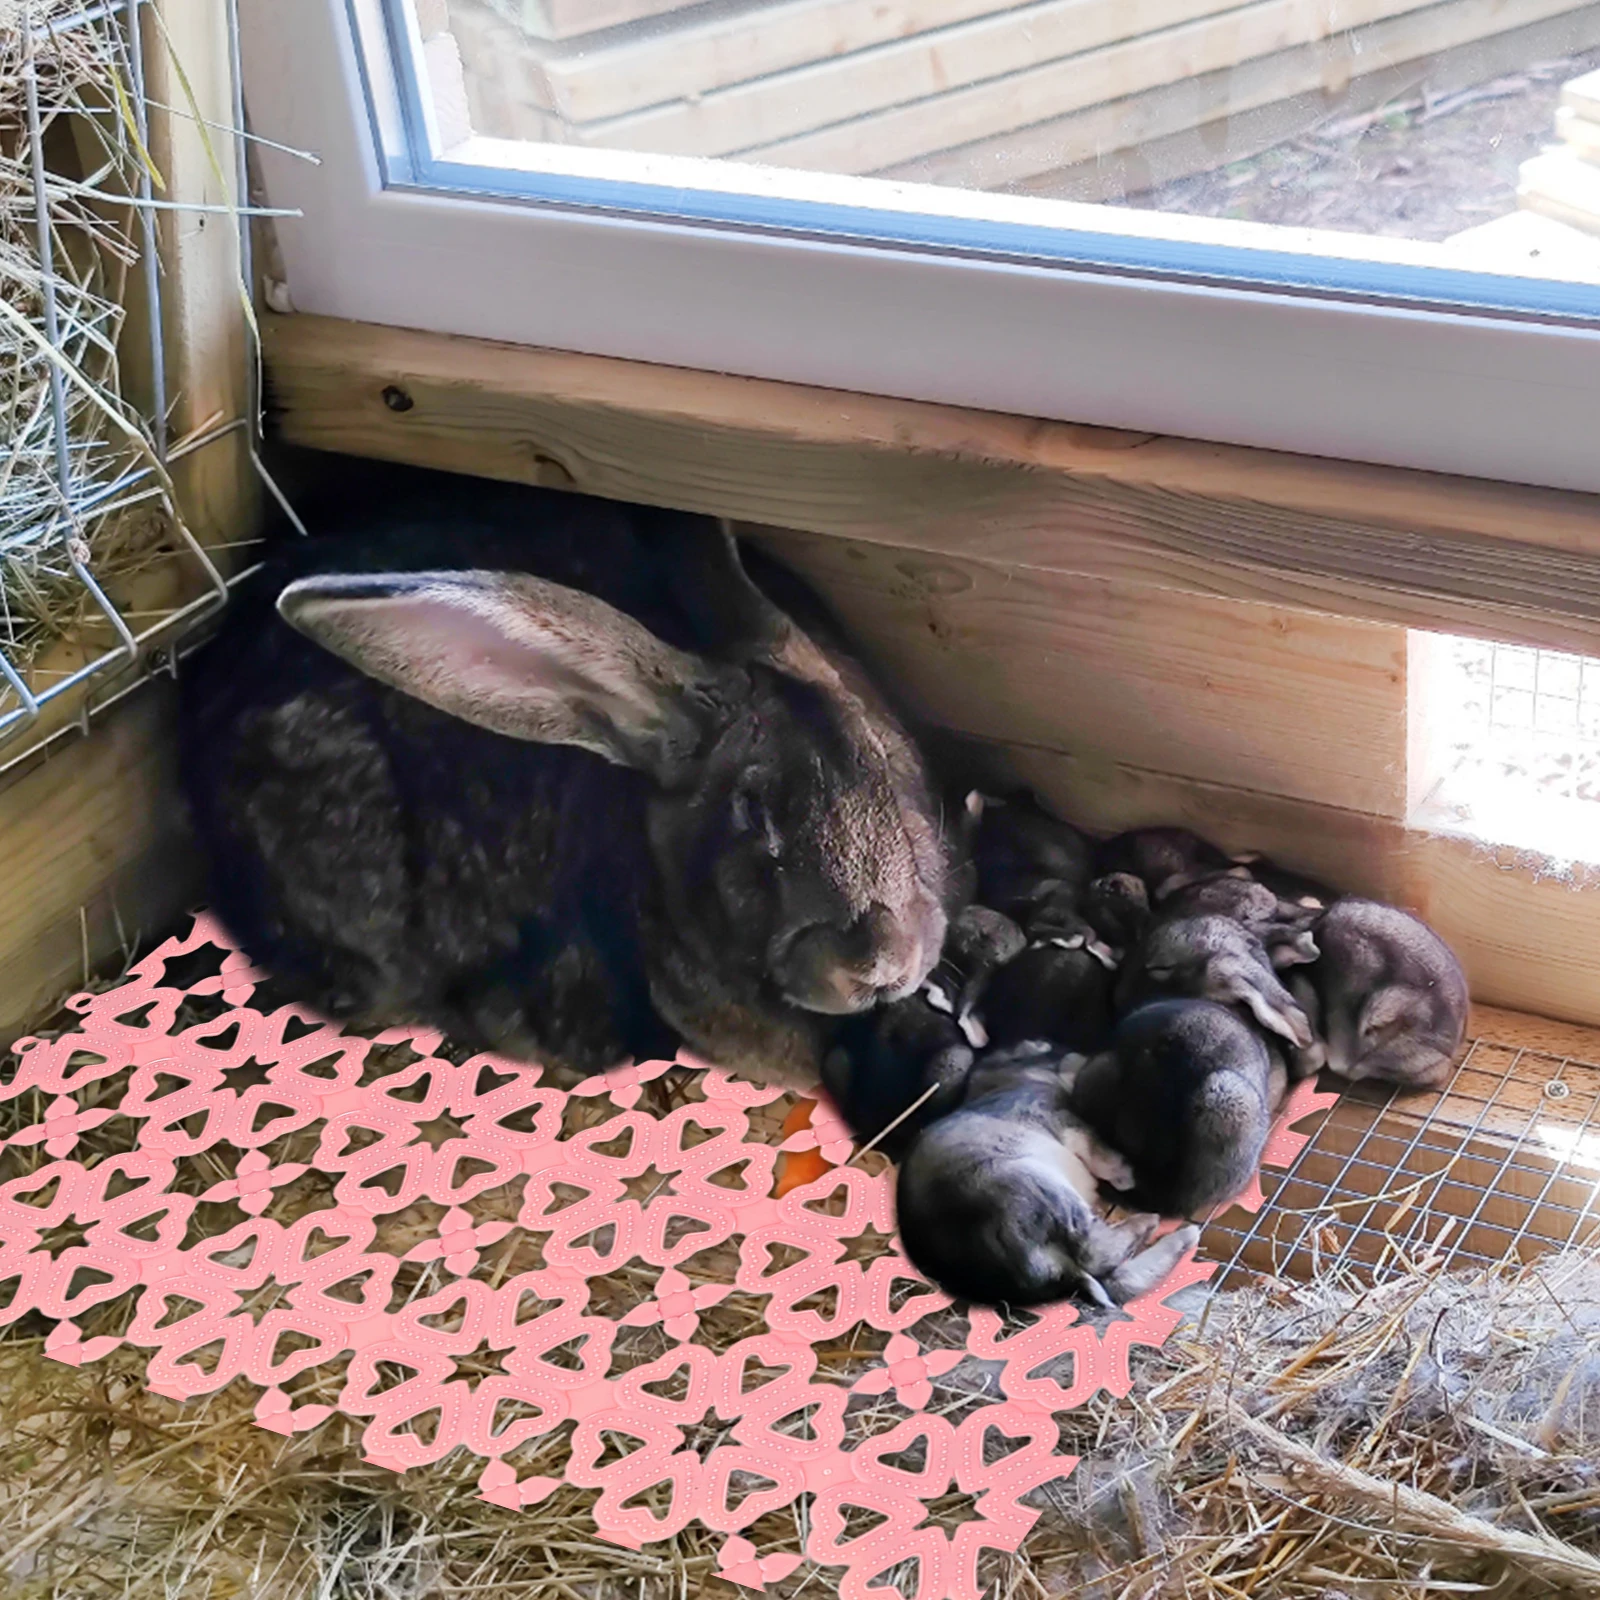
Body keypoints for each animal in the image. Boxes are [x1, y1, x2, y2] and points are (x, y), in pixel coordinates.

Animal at [896, 1041, 1201, 1308]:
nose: (1079, 1055)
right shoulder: (1063, 1117)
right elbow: (1098, 1150)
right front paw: (1127, 1177)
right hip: (1040, 1187)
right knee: (1096, 1250)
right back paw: (1162, 1225)